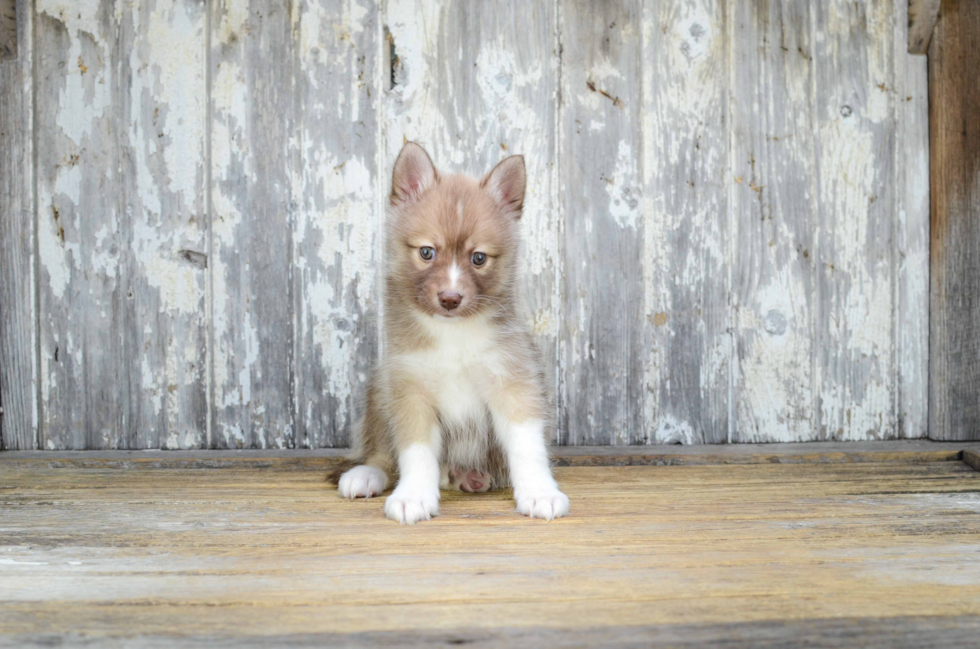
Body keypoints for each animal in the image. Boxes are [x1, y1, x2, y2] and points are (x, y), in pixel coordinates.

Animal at [334, 140, 572, 520]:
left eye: (479, 258)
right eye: (426, 252)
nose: (449, 298)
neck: (453, 336)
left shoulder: (513, 381)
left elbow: (527, 445)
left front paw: (539, 492)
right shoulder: (410, 390)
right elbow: (415, 451)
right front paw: (414, 496)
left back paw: (468, 476)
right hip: (379, 390)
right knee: (380, 451)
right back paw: (367, 475)